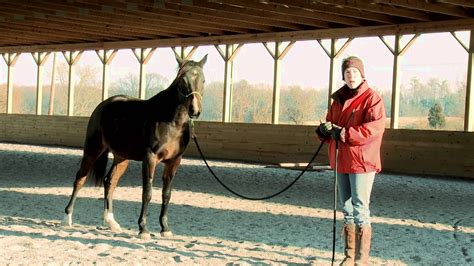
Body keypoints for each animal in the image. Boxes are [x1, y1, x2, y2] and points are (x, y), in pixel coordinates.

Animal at [61, 53, 207, 239]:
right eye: (182, 79)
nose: (194, 110)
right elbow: (147, 193)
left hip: (121, 157)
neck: (171, 121)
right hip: (92, 151)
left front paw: (165, 228)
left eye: (203, 80)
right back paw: (67, 219)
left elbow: (166, 194)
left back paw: (111, 222)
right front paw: (143, 229)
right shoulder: (150, 159)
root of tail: (103, 105)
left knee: (110, 182)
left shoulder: (174, 161)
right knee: (80, 179)